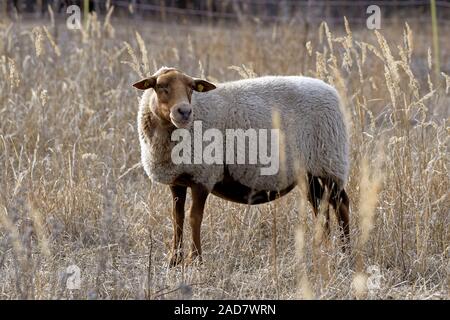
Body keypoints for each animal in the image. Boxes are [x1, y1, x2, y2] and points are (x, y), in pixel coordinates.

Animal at [132, 66, 350, 266]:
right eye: (160, 86)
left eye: (191, 88)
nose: (184, 112)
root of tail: (330, 89)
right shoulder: (178, 180)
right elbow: (177, 218)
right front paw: (174, 261)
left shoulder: (203, 175)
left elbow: (194, 218)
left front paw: (196, 260)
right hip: (309, 169)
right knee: (320, 206)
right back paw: (324, 250)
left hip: (329, 160)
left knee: (341, 204)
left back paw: (345, 253)